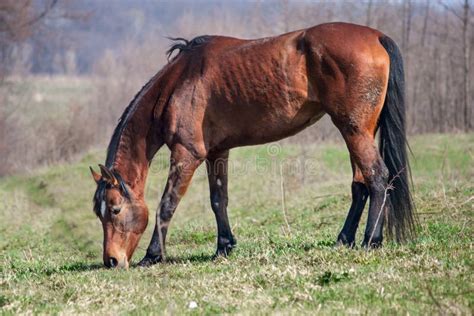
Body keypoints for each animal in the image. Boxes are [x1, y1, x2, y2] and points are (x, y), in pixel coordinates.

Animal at [89, 22, 414, 270]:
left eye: (115, 209)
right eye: (98, 212)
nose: (111, 261)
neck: (178, 84)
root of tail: (376, 37)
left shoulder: (187, 155)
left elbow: (167, 205)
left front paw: (152, 256)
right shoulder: (217, 153)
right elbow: (218, 200)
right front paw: (224, 247)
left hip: (354, 131)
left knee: (378, 178)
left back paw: (370, 241)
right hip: (358, 131)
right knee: (361, 184)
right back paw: (345, 239)